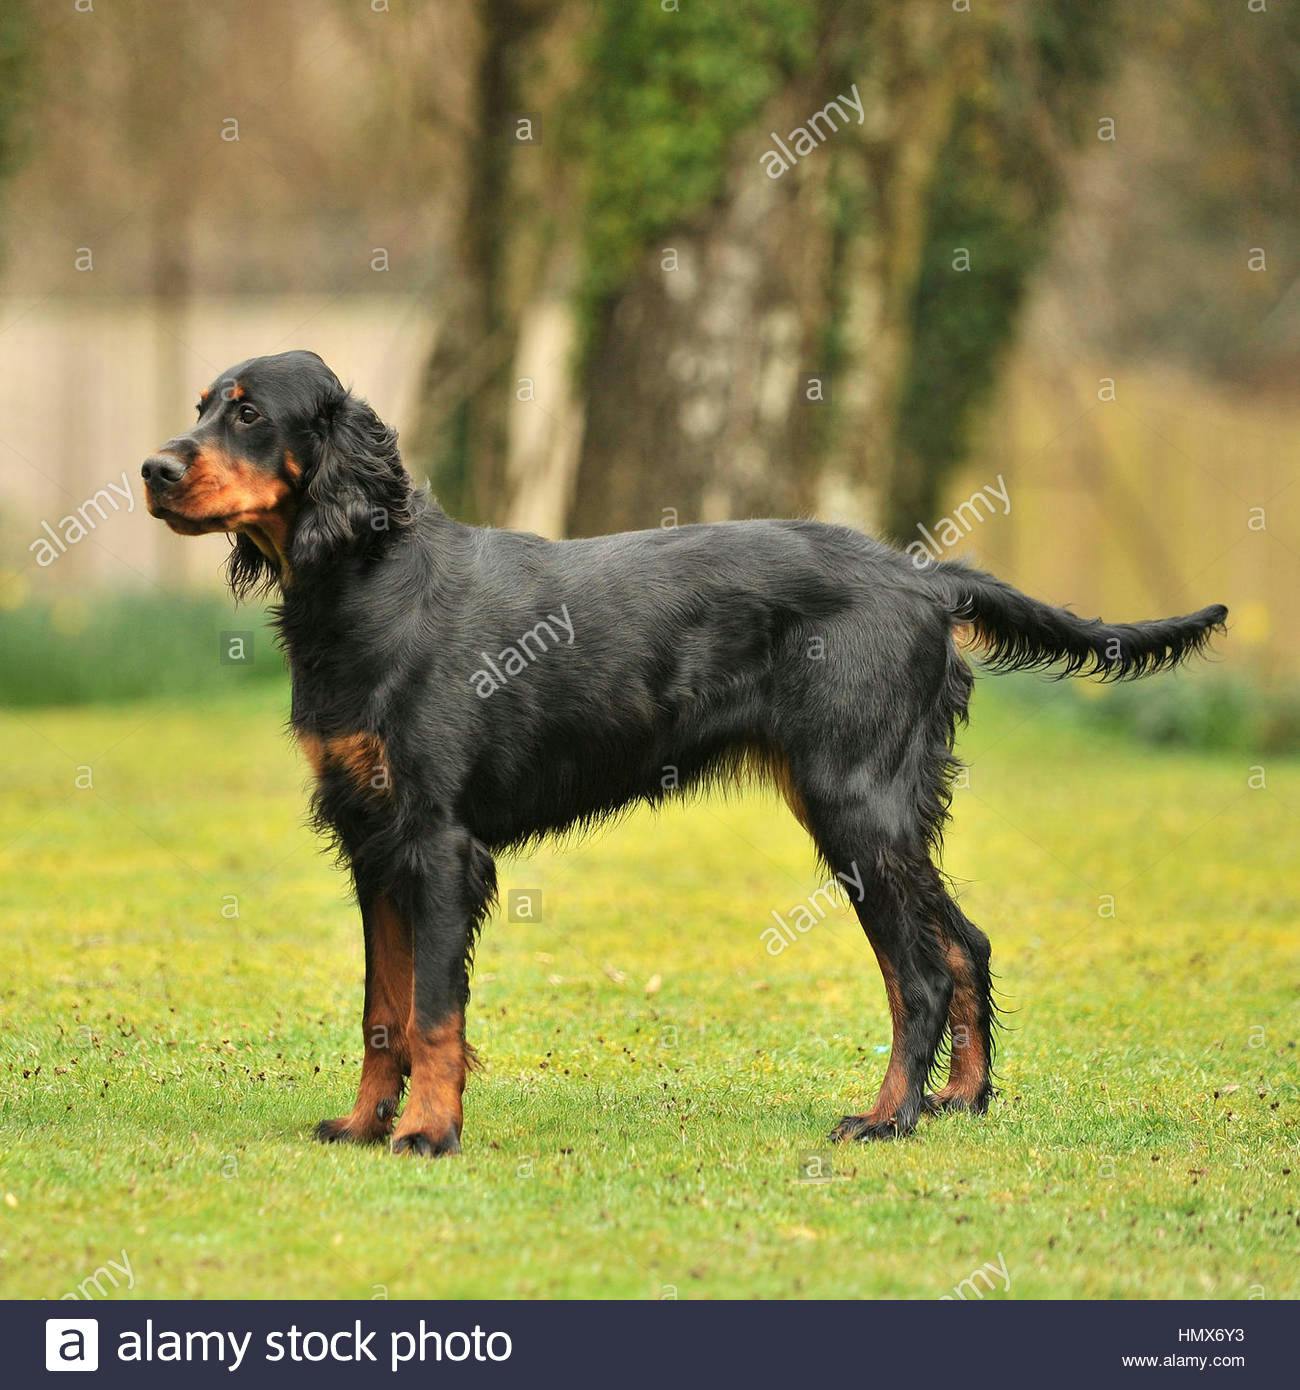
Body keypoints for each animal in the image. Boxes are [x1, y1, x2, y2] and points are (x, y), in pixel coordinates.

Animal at [142, 353, 1229, 1156]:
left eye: (248, 413)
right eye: (201, 406)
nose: (154, 470)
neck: (368, 582)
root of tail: (922, 576)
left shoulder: (439, 844)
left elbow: (435, 1011)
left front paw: (428, 1131)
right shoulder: (371, 838)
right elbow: (384, 1008)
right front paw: (366, 1122)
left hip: (855, 807)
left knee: (917, 973)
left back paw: (887, 1117)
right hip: (880, 811)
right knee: (965, 942)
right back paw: (959, 1099)